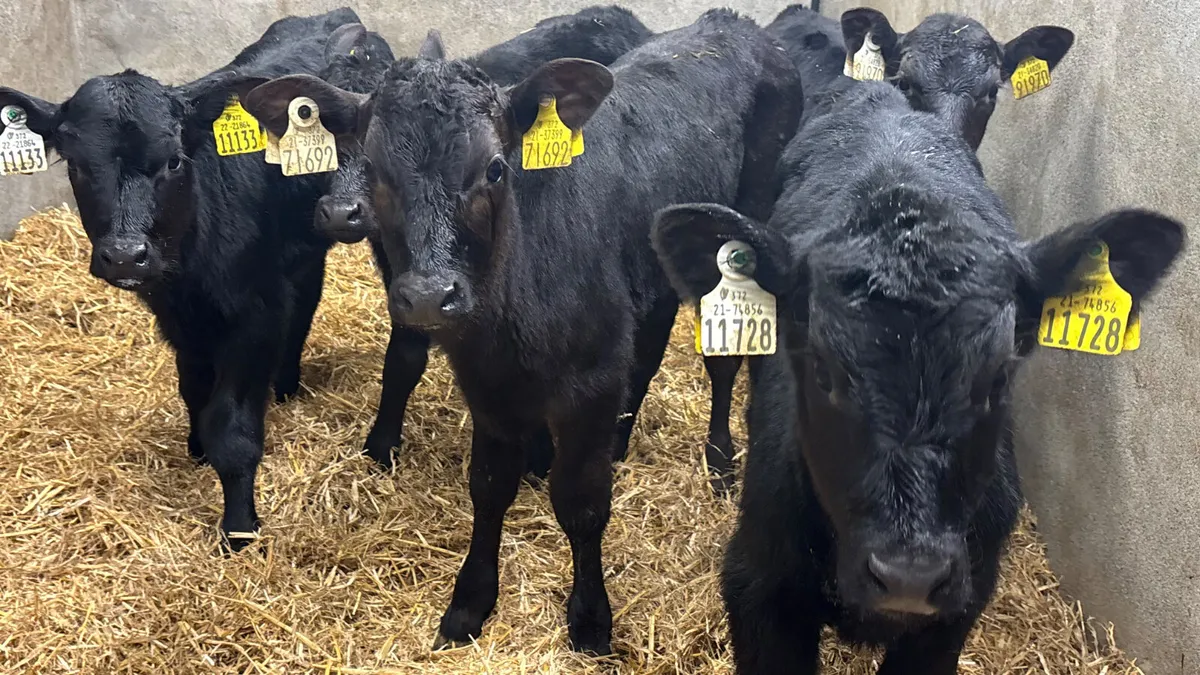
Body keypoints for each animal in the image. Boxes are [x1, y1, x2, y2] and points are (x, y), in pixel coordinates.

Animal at [0, 8, 362, 551]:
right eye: (77, 166)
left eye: (173, 160)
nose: (125, 256)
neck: (191, 271)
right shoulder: (177, 316)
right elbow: (193, 388)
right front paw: (196, 447)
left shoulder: (255, 315)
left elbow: (232, 431)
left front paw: (239, 527)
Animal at [294, 7, 652, 476]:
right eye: (329, 133)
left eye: (492, 168)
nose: (341, 212)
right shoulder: (406, 275)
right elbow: (404, 356)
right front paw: (382, 443)